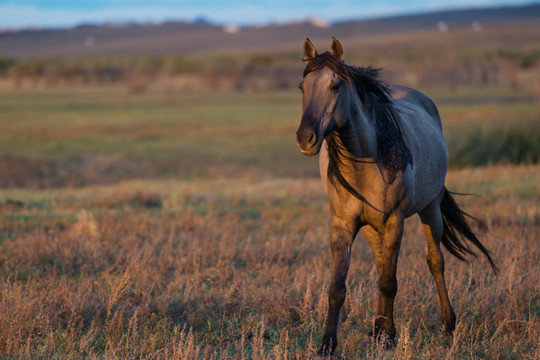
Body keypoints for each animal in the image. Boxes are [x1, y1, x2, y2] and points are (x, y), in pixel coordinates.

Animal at [296, 38, 498, 356]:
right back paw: (378, 328)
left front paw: (389, 338)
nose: (306, 138)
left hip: (430, 210)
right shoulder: (343, 224)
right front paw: (328, 343)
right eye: (302, 88)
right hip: (371, 227)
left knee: (435, 262)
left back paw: (448, 326)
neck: (366, 160)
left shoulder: (394, 220)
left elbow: (389, 282)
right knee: (383, 264)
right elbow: (338, 287)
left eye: (335, 85)